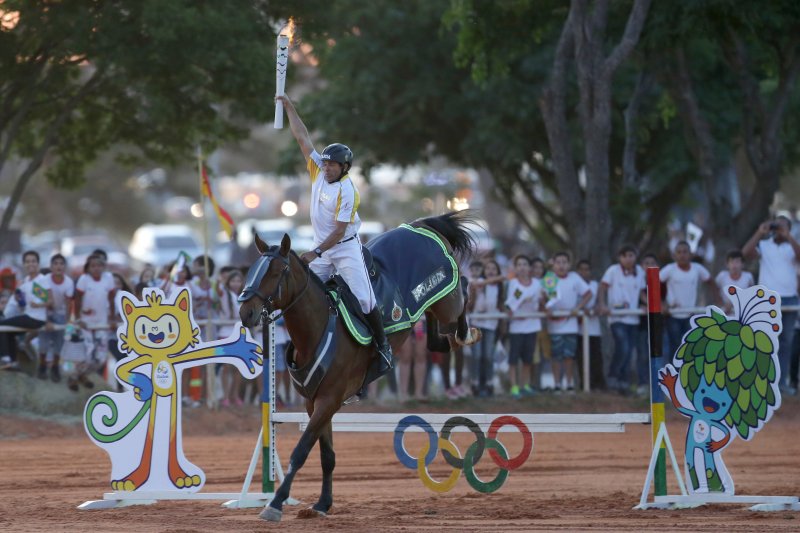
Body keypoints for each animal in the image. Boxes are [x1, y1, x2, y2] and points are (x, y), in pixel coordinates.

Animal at [239, 210, 482, 520]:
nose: (245, 312)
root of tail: (419, 224)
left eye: (275, 272)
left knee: (463, 288)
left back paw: (465, 333)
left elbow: (301, 451)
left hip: (447, 301)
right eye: (251, 271)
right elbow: (327, 456)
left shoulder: (329, 400)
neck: (318, 329)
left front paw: (276, 502)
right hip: (430, 306)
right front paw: (322, 504)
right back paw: (445, 341)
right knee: (436, 334)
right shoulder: (315, 402)